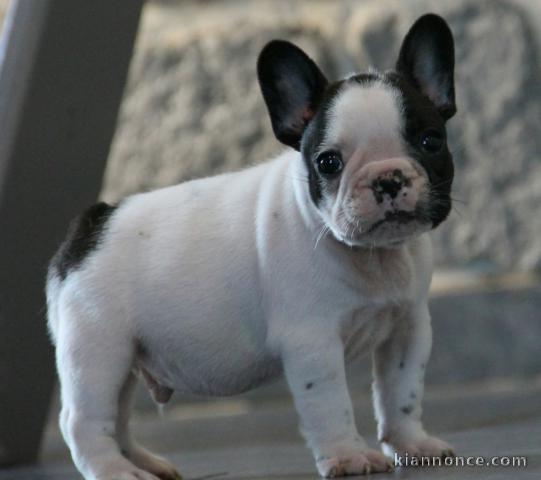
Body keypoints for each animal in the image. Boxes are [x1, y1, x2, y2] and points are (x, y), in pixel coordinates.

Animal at [48, 13, 458, 478]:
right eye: (328, 162)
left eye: (431, 141)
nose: (387, 178)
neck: (374, 257)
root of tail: (92, 223)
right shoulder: (312, 341)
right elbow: (330, 404)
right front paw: (349, 456)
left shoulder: (408, 328)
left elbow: (401, 393)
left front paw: (411, 443)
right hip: (98, 349)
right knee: (83, 421)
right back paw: (116, 471)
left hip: (125, 360)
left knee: (116, 417)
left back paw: (145, 463)